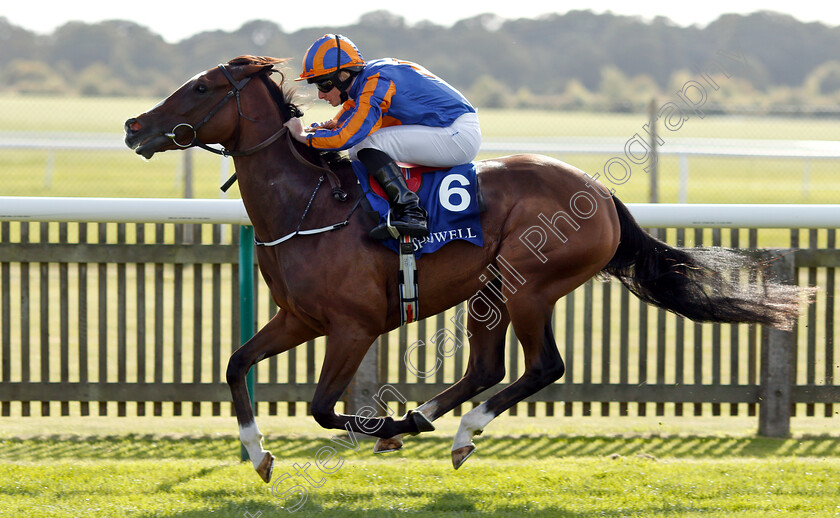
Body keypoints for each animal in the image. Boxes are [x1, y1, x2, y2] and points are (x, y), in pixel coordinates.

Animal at [123, 57, 800, 484]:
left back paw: (448, 429)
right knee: (486, 367)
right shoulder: (299, 319)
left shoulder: (353, 326)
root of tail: (602, 195)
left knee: (542, 367)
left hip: (528, 285)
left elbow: (320, 406)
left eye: (202, 88)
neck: (308, 204)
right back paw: (431, 419)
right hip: (488, 292)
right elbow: (236, 365)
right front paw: (258, 455)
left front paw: (385, 429)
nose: (133, 126)